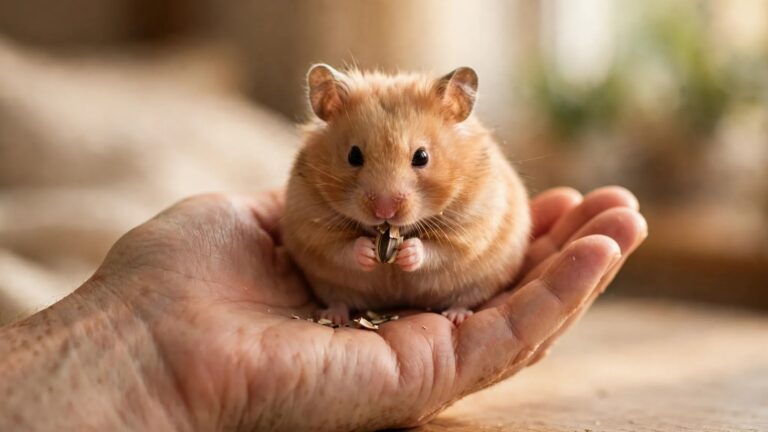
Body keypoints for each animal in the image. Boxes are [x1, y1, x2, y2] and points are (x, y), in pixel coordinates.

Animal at [281, 64, 531, 325]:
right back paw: (333, 315)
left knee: (464, 298)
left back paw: (456, 315)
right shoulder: (310, 225)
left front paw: (408, 252)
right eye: (354, 156)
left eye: (422, 157)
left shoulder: (472, 226)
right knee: (339, 299)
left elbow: (441, 250)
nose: (384, 210)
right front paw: (368, 250)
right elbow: (339, 247)